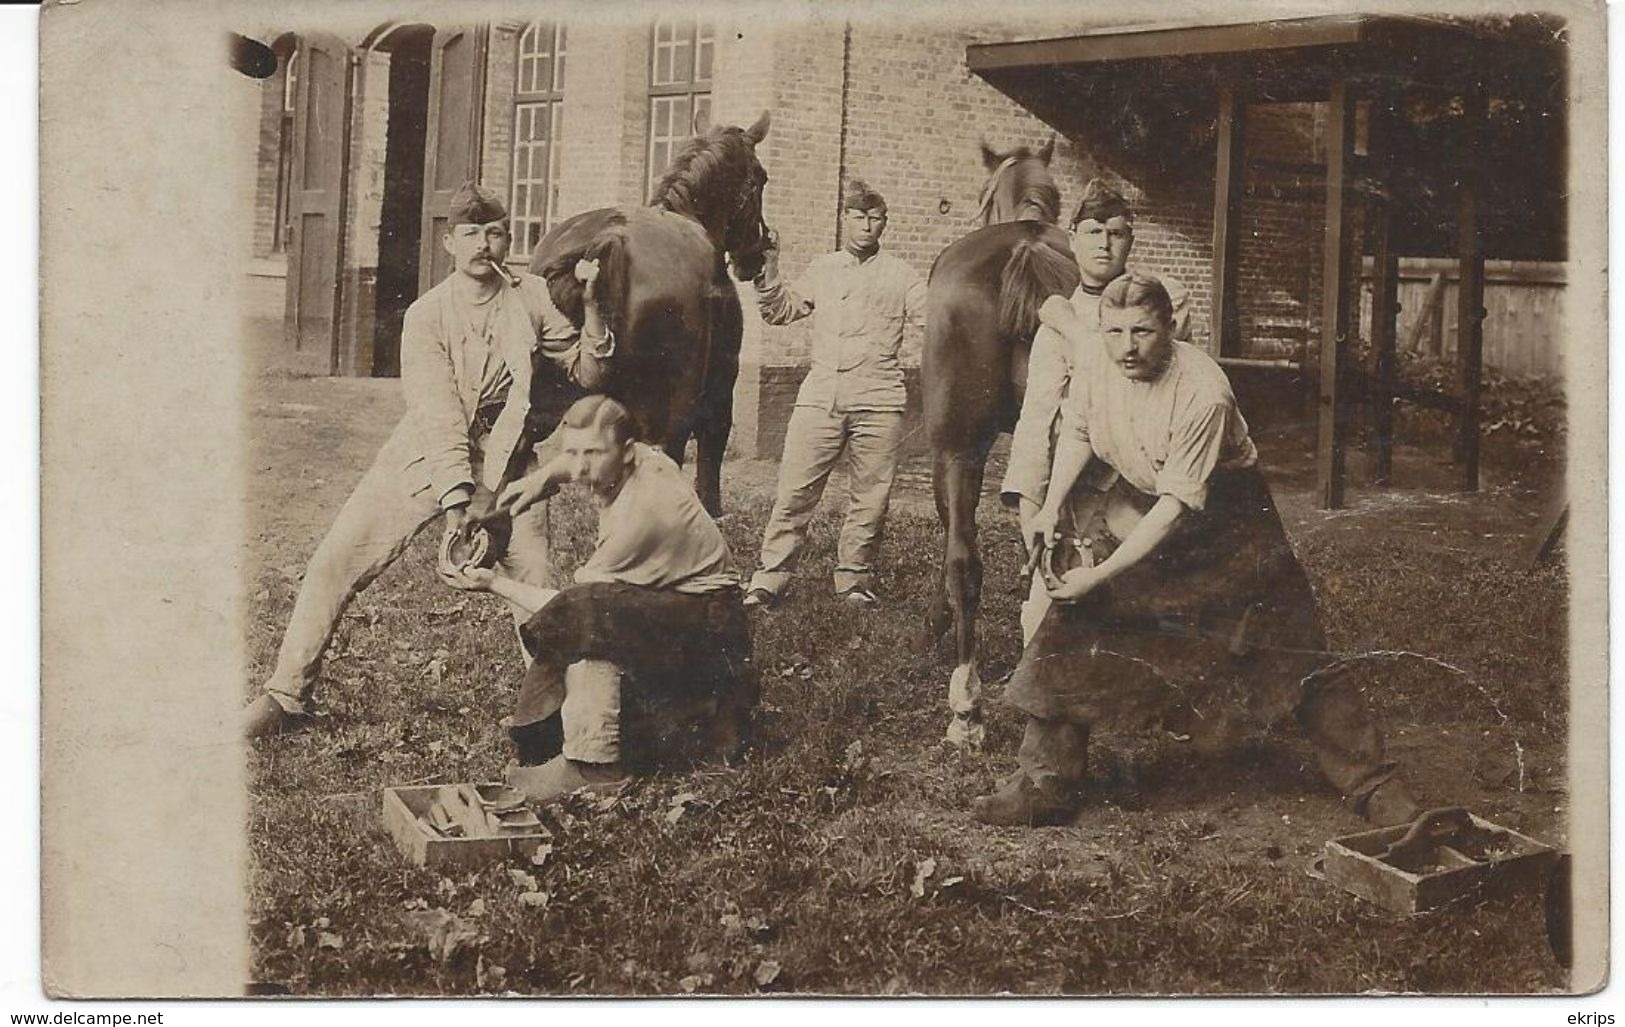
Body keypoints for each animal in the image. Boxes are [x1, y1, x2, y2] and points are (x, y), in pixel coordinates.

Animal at [523, 112, 770, 513]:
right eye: (760, 177)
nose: (758, 253)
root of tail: (610, 237)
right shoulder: (719, 391)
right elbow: (710, 460)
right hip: (670, 412)